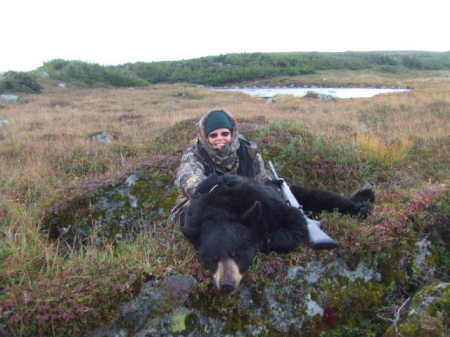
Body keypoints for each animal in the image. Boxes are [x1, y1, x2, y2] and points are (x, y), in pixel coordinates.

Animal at [181, 175, 374, 292]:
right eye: (212, 259)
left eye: (237, 254)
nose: (227, 284)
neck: (223, 209)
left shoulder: (272, 206)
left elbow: (296, 225)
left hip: (302, 194)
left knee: (327, 199)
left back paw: (364, 204)